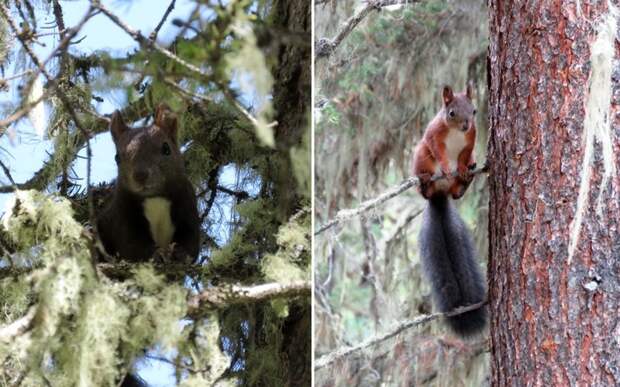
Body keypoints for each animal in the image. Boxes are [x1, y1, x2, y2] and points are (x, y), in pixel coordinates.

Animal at [96, 104, 201, 266]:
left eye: (166, 149)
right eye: (117, 157)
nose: (140, 175)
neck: (155, 198)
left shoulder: (187, 204)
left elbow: (191, 239)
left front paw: (181, 254)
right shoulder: (121, 213)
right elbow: (132, 244)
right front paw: (156, 254)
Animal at [414, 84, 486, 336]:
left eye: (474, 111)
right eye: (452, 112)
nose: (465, 125)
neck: (455, 132)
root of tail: (440, 195)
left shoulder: (471, 140)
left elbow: (464, 154)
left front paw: (462, 168)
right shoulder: (434, 135)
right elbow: (439, 150)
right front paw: (446, 167)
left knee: (456, 193)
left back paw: (465, 180)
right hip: (420, 154)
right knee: (425, 184)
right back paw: (425, 182)